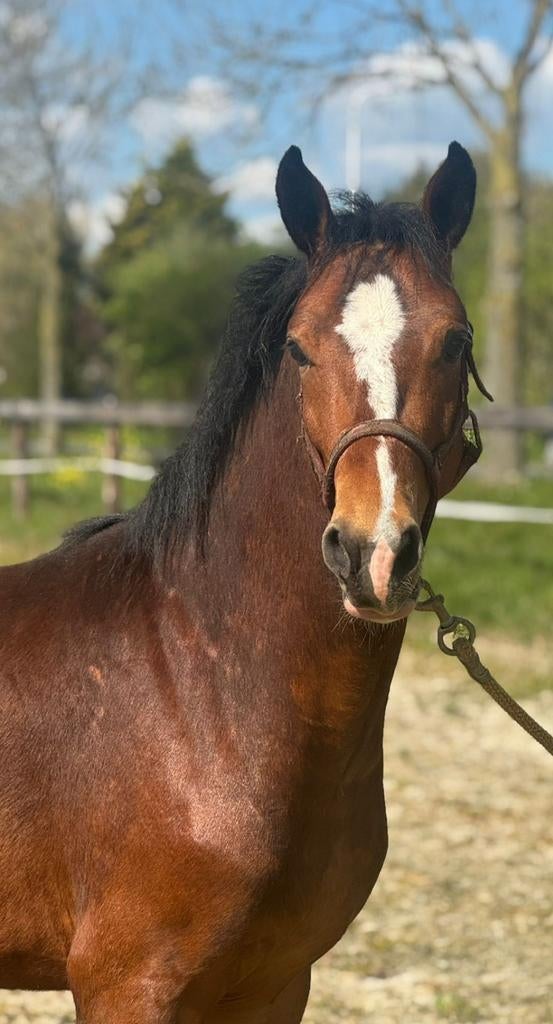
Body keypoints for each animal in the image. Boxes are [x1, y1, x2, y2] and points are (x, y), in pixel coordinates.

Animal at [0, 141, 483, 1023]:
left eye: (455, 339)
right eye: (297, 347)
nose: (373, 554)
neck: (197, 692)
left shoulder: (276, 981)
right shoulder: (128, 985)